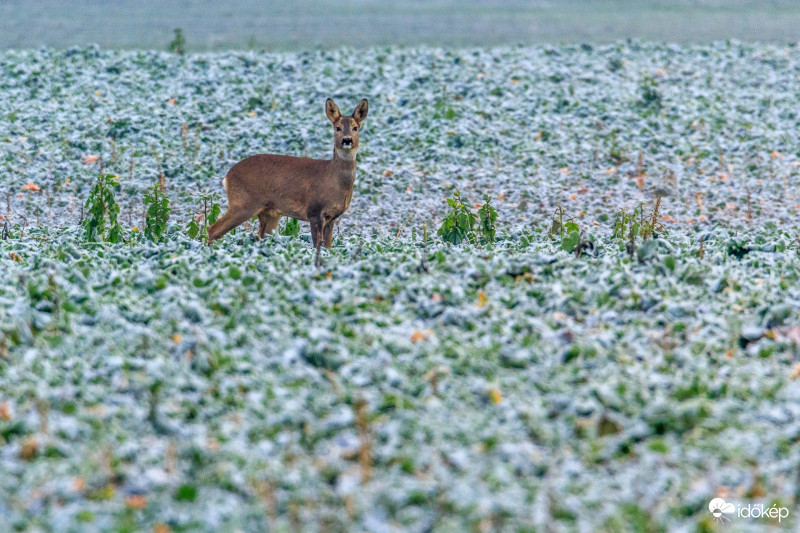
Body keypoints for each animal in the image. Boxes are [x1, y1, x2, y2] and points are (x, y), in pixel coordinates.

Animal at [206, 97, 368, 264]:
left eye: (355, 128)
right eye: (337, 128)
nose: (347, 140)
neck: (334, 182)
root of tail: (227, 177)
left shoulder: (332, 217)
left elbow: (327, 247)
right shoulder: (314, 212)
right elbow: (317, 245)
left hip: (269, 212)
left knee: (260, 236)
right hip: (243, 203)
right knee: (213, 229)